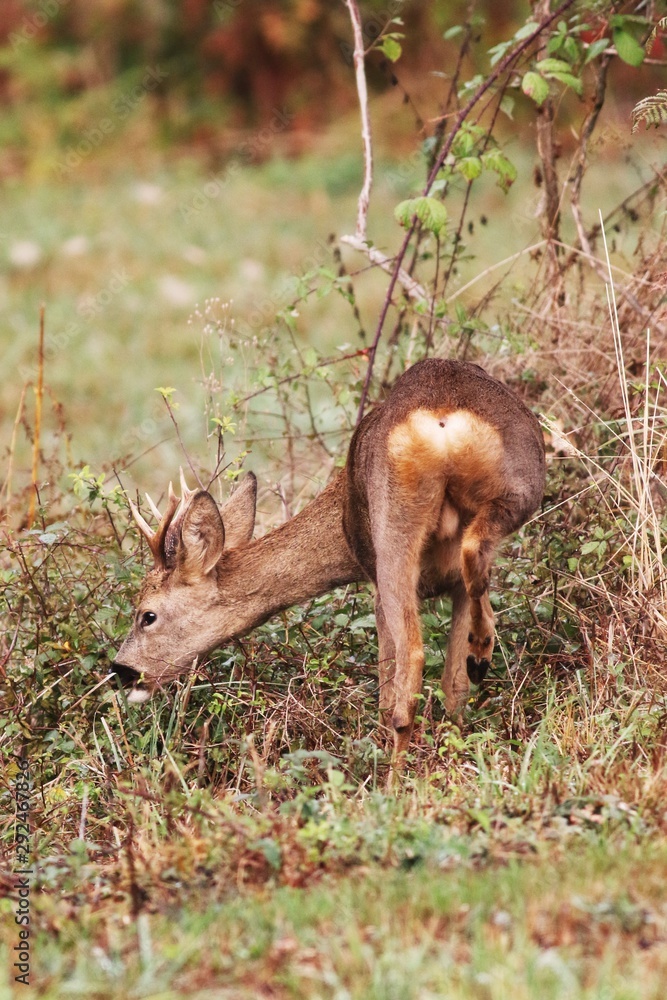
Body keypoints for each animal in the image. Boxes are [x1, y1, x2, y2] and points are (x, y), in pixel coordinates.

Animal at [115, 360, 544, 764]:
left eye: (147, 615)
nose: (121, 670)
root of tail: (443, 421)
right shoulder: (453, 586)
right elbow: (455, 691)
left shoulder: (373, 581)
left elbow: (388, 688)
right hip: (522, 486)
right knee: (475, 559)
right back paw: (481, 652)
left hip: (393, 533)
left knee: (409, 667)